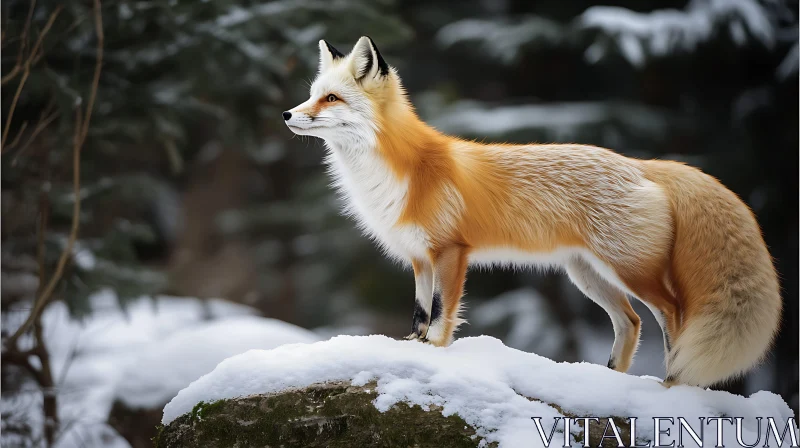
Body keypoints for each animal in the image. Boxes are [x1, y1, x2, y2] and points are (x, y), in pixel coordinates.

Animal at [286, 36, 780, 386]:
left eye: (331, 99)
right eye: (312, 95)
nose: (288, 115)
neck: (399, 172)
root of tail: (640, 164)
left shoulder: (451, 252)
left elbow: (443, 318)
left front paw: (437, 357)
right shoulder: (418, 258)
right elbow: (419, 318)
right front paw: (411, 349)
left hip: (631, 271)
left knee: (673, 315)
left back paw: (672, 383)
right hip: (587, 275)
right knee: (632, 322)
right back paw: (612, 379)